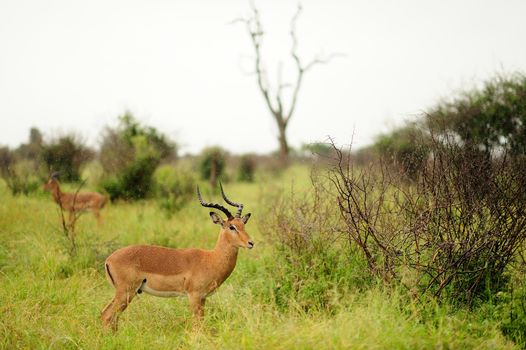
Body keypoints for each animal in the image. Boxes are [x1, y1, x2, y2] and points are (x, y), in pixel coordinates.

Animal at [100, 183, 256, 330]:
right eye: (232, 227)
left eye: (243, 224)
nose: (251, 243)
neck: (211, 259)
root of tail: (109, 259)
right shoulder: (194, 296)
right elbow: (197, 324)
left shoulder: (203, 298)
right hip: (126, 292)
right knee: (107, 315)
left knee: (111, 317)